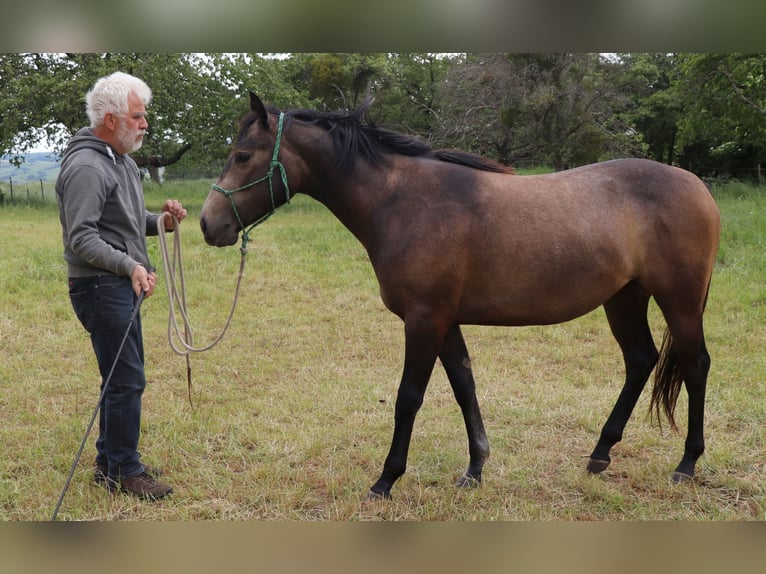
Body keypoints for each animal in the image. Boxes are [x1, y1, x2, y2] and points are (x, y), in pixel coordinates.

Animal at [201, 92, 724, 502]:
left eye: (243, 156)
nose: (209, 224)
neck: (403, 201)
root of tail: (697, 185)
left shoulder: (424, 319)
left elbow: (409, 397)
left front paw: (386, 480)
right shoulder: (445, 320)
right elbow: (464, 387)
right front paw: (475, 469)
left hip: (678, 301)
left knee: (695, 365)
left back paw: (686, 464)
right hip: (624, 298)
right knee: (641, 360)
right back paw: (600, 455)